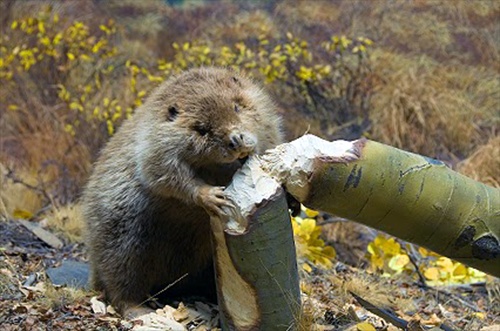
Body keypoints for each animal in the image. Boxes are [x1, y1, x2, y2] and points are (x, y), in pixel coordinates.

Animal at [82, 67, 286, 320]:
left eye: (237, 106)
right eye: (201, 129)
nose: (235, 140)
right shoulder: (153, 141)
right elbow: (161, 172)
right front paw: (214, 197)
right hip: (120, 237)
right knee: (120, 277)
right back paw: (139, 311)